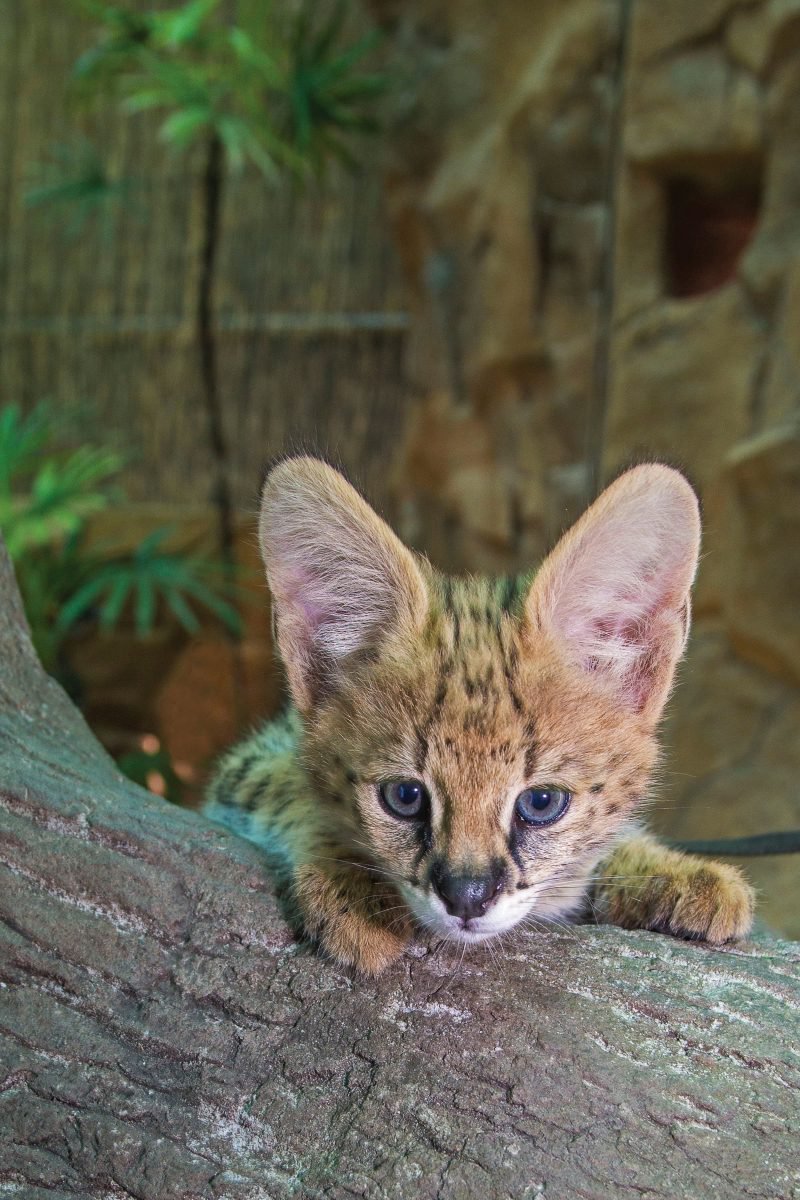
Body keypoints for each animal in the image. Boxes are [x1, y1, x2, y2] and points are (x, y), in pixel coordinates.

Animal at [203, 456, 753, 974]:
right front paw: (353, 885)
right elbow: (289, 787)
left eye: (542, 803)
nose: (466, 897)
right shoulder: (246, 766)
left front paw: (670, 868)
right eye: (404, 797)